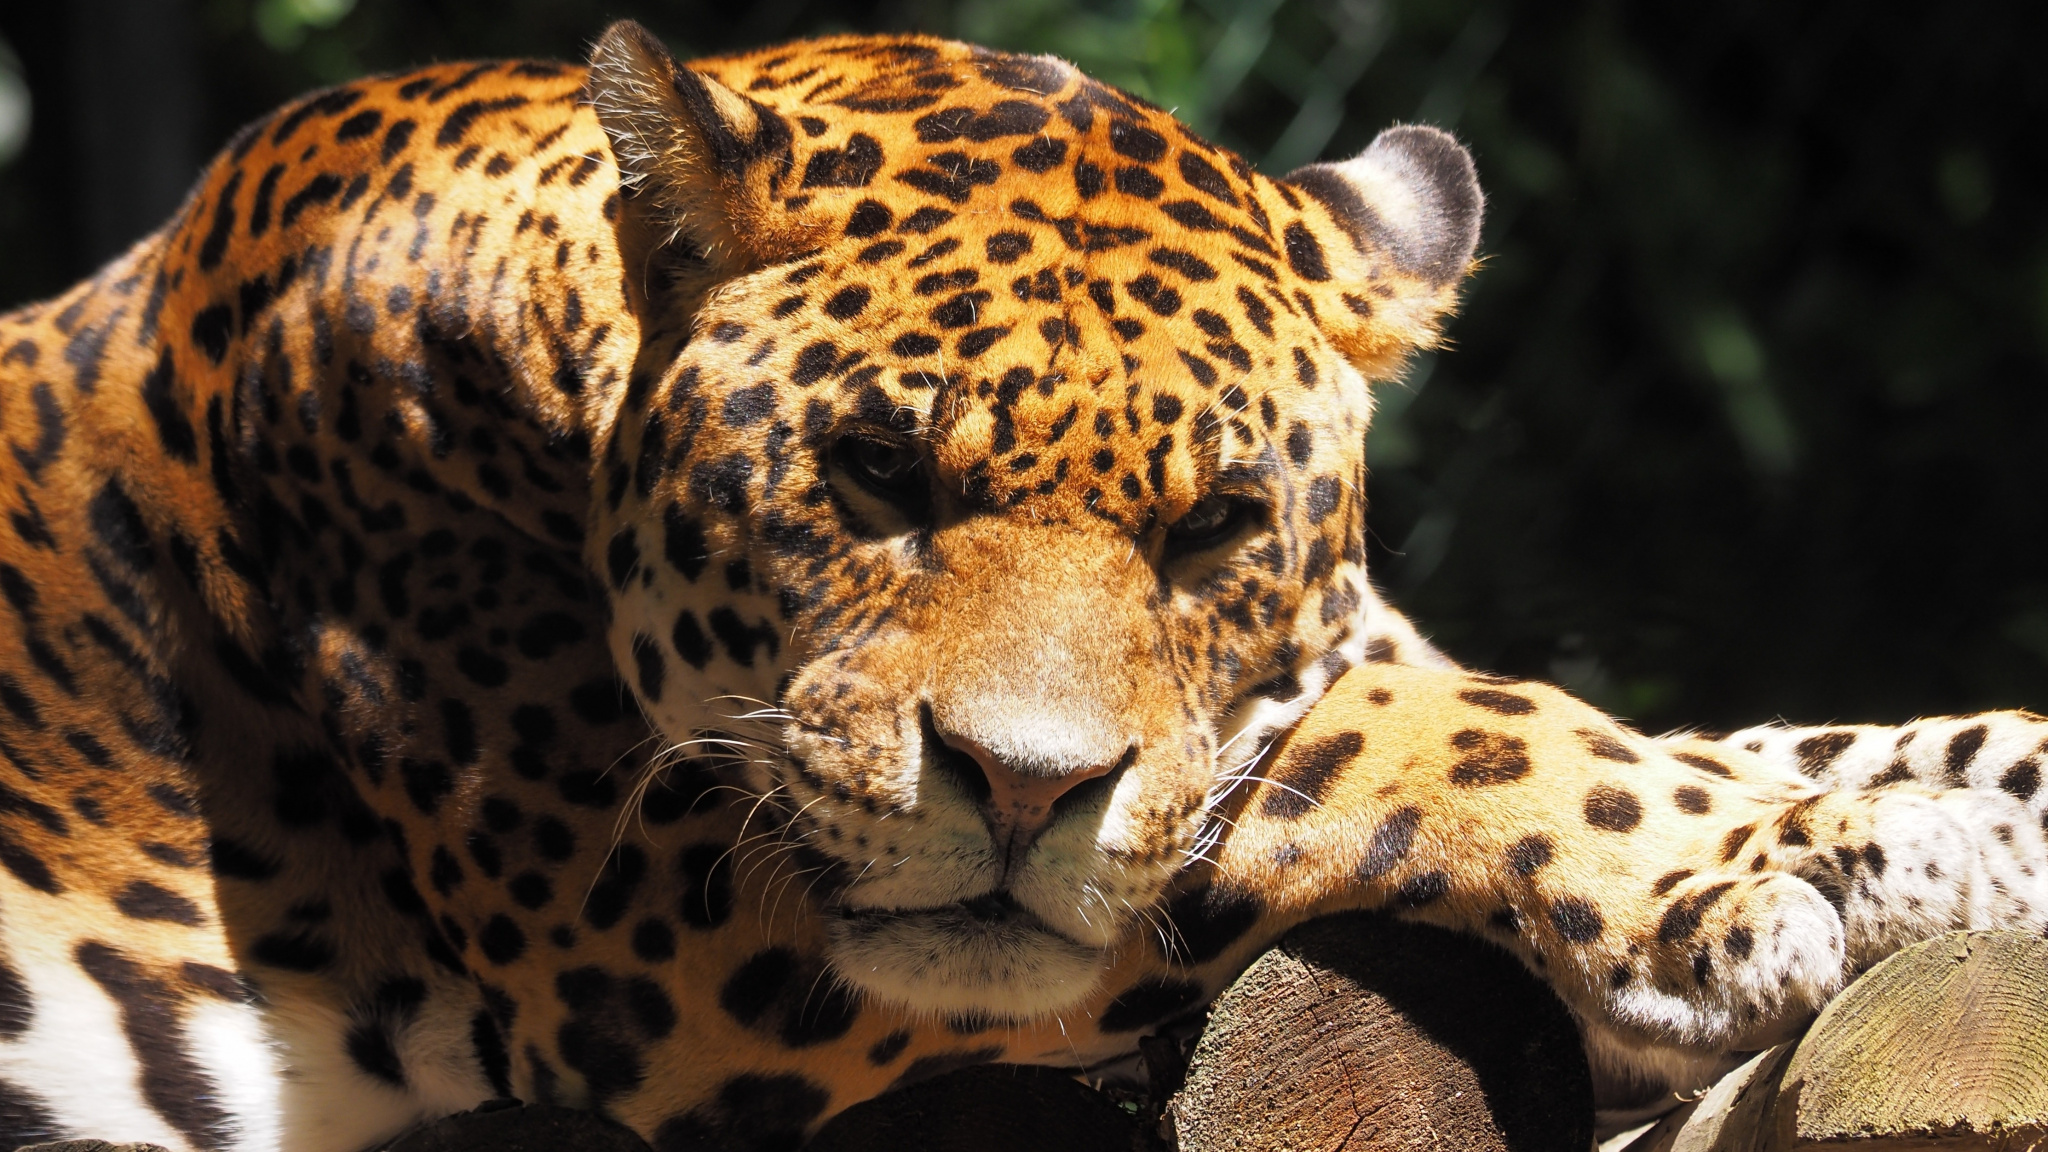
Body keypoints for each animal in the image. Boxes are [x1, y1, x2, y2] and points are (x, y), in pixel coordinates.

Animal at [0, 19, 2039, 1151]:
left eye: (1216, 528)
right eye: (874, 475)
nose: (1021, 788)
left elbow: (1733, 723)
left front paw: (1970, 790)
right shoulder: (671, 928)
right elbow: (1412, 738)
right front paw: (1835, 863)